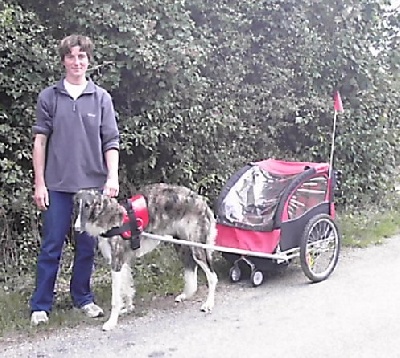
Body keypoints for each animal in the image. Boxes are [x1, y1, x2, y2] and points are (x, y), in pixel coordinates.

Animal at [73, 183, 217, 332]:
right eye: (77, 204)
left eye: (87, 205)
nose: (76, 228)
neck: (111, 216)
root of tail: (202, 201)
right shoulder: (123, 263)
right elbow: (127, 289)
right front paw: (128, 308)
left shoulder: (116, 263)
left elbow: (116, 299)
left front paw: (111, 322)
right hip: (181, 245)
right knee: (192, 270)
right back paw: (185, 295)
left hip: (198, 248)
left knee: (213, 276)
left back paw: (208, 304)